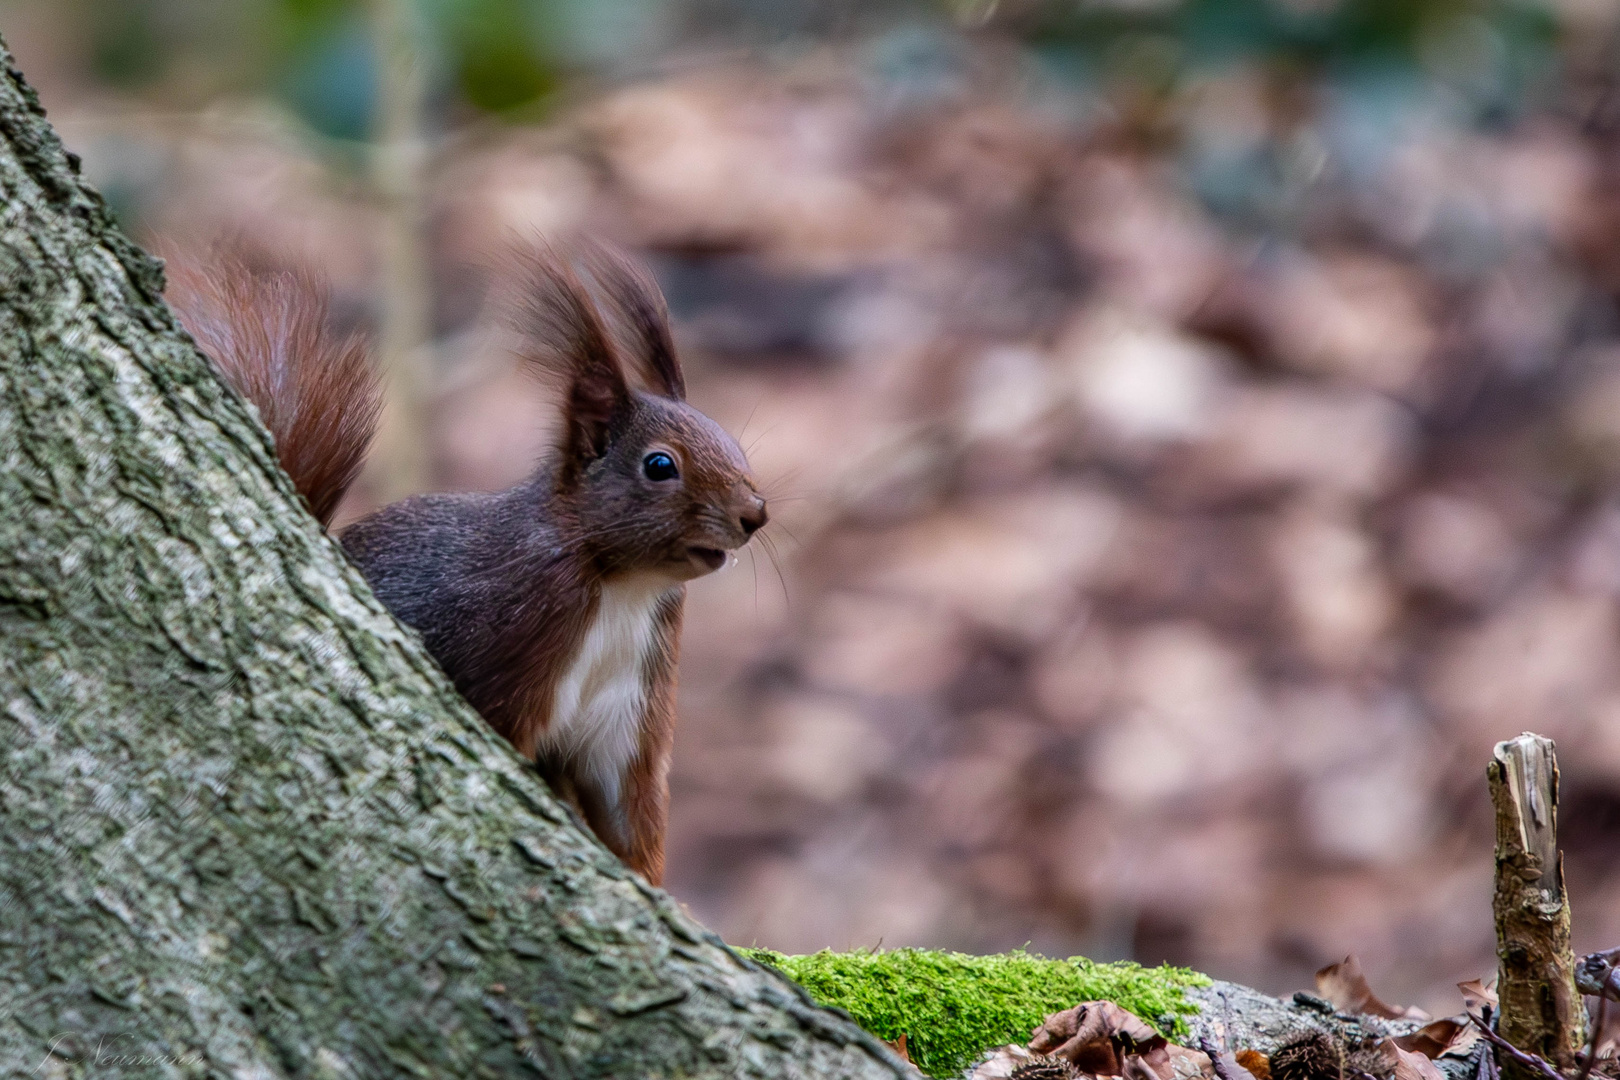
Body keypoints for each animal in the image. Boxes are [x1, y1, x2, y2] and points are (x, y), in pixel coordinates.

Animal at [164, 241, 764, 880]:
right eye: (659, 466)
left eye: (729, 438)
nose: (756, 513)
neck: (624, 585)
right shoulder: (512, 636)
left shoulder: (633, 696)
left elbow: (628, 808)